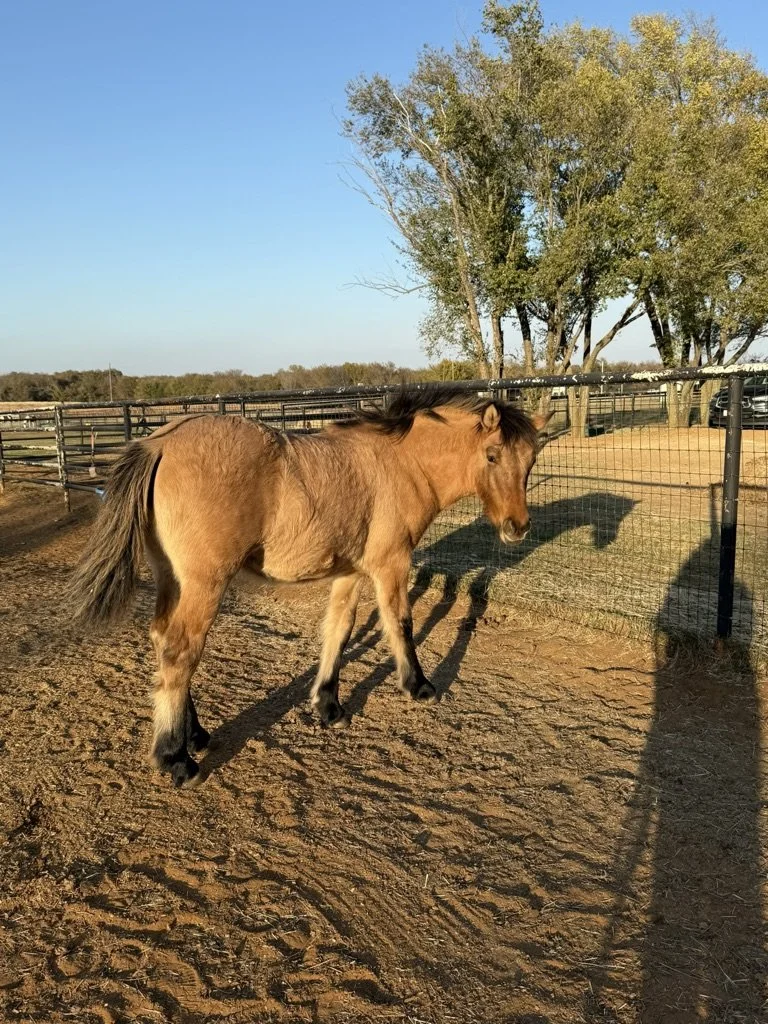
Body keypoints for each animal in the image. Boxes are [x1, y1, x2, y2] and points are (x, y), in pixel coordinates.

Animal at [67, 388, 549, 786]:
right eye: (492, 455)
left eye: (530, 462)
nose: (518, 528)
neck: (398, 464)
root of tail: (160, 443)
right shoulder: (390, 564)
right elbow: (400, 622)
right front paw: (419, 686)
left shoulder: (351, 572)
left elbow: (338, 629)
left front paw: (328, 705)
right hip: (204, 584)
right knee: (180, 651)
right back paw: (177, 759)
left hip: (174, 579)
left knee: (161, 639)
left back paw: (197, 734)